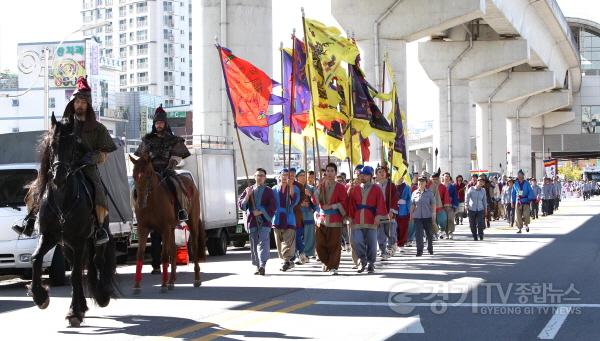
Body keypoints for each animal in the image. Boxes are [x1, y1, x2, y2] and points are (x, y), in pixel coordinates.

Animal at [27, 114, 119, 326]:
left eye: (73, 146)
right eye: (52, 144)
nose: (59, 176)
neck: (63, 199)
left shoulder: (79, 240)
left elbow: (77, 274)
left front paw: (74, 312)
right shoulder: (49, 236)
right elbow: (36, 259)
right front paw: (40, 297)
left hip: (93, 238)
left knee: (97, 261)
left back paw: (101, 295)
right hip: (66, 247)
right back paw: (82, 305)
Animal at [127, 154, 205, 292]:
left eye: (148, 174)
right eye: (134, 175)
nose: (140, 201)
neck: (151, 202)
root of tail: (192, 184)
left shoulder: (164, 228)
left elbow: (164, 255)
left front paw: (162, 285)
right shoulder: (143, 229)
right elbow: (140, 254)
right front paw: (136, 286)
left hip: (192, 222)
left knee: (194, 248)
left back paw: (196, 279)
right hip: (172, 229)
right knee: (173, 250)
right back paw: (171, 281)